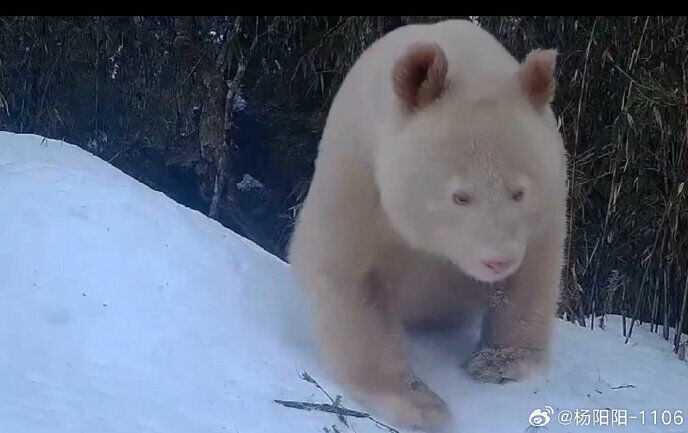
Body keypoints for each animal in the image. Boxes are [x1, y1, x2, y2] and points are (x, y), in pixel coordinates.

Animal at [288, 19, 568, 432]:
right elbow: (349, 277)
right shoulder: (359, 173)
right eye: (460, 196)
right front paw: (421, 404)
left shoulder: (547, 198)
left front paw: (499, 364)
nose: (498, 261)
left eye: (519, 192)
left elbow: (533, 272)